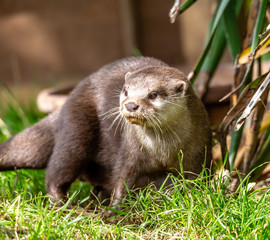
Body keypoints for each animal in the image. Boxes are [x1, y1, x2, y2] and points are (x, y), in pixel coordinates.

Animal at [0, 56, 212, 208]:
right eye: (125, 90)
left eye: (153, 94)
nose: (131, 104)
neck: (162, 151)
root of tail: (68, 100)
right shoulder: (130, 152)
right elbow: (122, 181)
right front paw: (115, 211)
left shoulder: (199, 154)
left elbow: (195, 182)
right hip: (77, 128)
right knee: (58, 171)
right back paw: (67, 206)